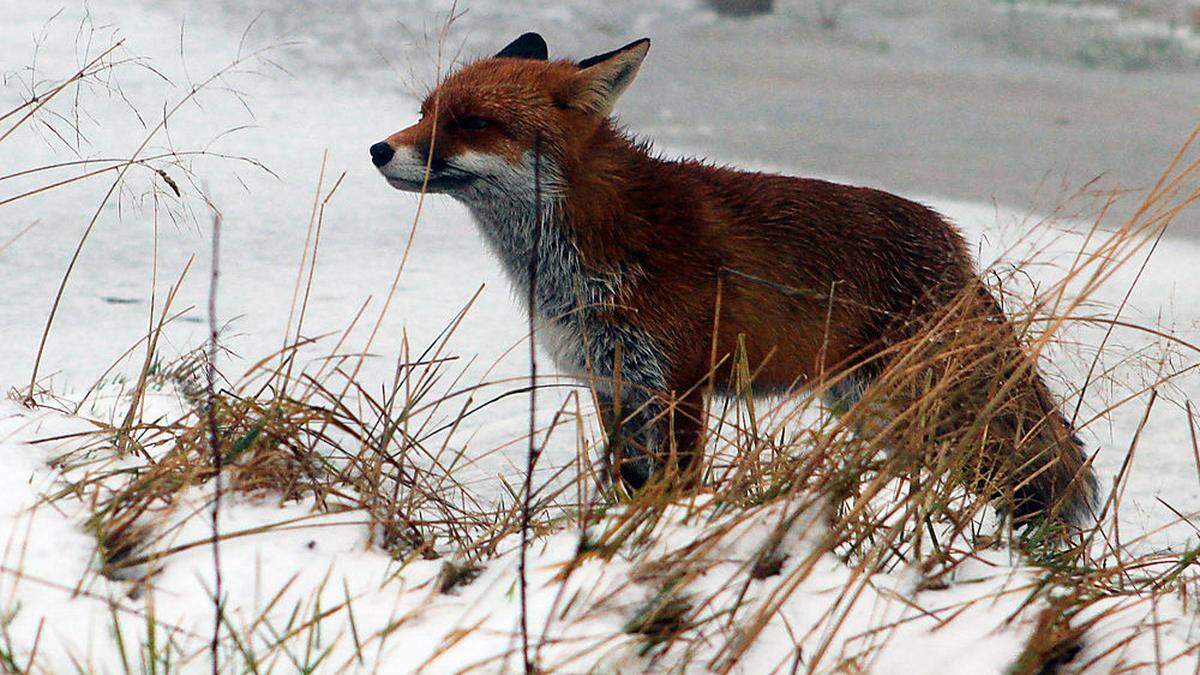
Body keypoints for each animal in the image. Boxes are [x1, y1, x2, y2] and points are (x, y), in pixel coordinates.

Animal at [369, 31, 1099, 523]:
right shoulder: (613, 381)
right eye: (425, 110)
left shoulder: (678, 383)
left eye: (473, 123)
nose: (378, 148)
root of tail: (952, 239)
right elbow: (626, 483)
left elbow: (675, 489)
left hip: (917, 404)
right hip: (871, 409)